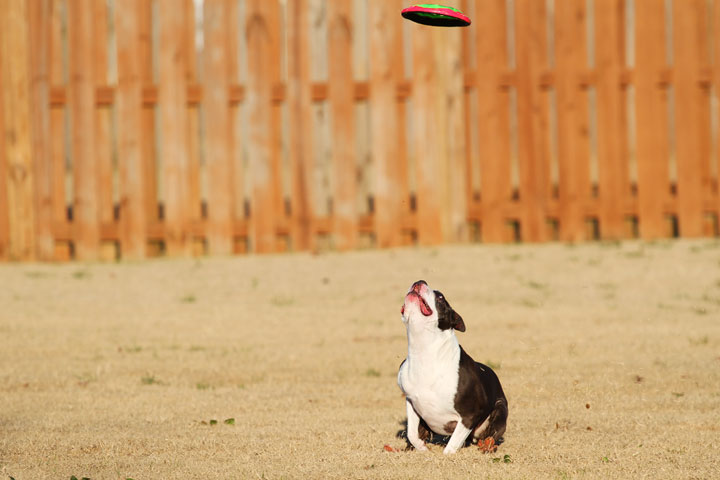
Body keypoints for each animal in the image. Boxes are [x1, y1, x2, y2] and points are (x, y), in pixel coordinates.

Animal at [396, 280, 510, 456]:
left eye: (440, 297)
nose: (420, 281)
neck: (423, 349)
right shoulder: (411, 401)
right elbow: (412, 433)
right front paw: (421, 448)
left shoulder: (469, 415)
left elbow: (452, 445)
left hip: (500, 409)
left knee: (490, 436)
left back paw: (487, 447)